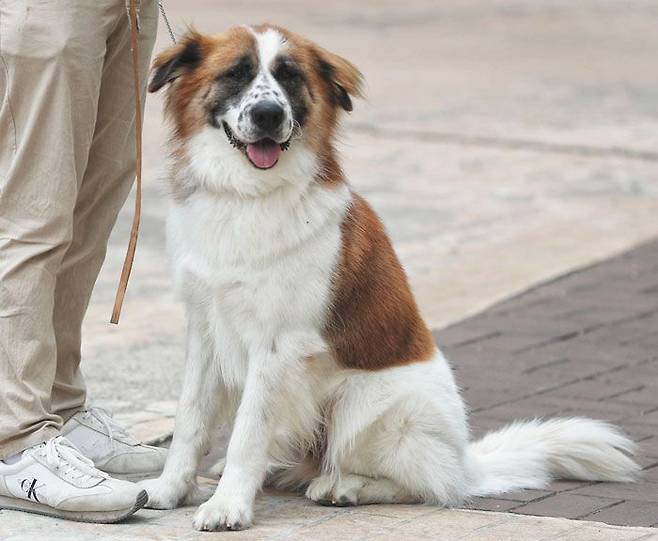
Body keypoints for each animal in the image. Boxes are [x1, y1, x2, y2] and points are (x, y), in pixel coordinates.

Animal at [141, 24, 640, 528]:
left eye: (290, 77)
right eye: (236, 74)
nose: (268, 114)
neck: (248, 195)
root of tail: (465, 460)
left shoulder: (278, 345)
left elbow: (248, 430)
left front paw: (228, 505)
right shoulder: (205, 329)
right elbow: (190, 421)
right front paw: (169, 490)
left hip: (366, 405)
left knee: (428, 485)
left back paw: (344, 487)